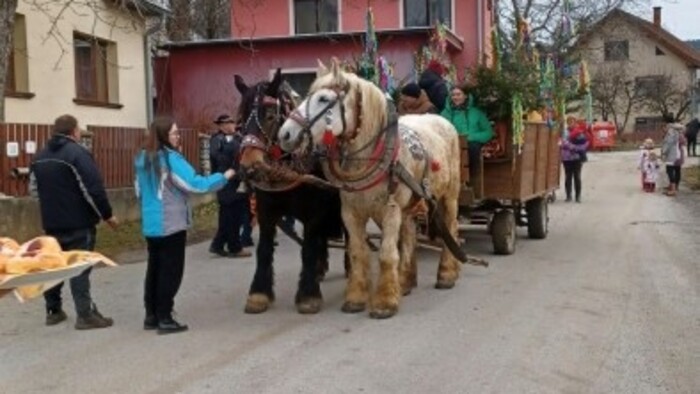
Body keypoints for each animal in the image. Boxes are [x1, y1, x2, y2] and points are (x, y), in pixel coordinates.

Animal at [278, 61, 464, 318]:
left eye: (324, 99)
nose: (285, 134)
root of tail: (442, 120)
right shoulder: (350, 213)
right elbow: (358, 252)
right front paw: (356, 298)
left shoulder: (390, 210)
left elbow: (386, 253)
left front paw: (385, 302)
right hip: (410, 204)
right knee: (409, 235)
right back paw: (405, 281)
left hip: (449, 195)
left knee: (450, 227)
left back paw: (447, 273)